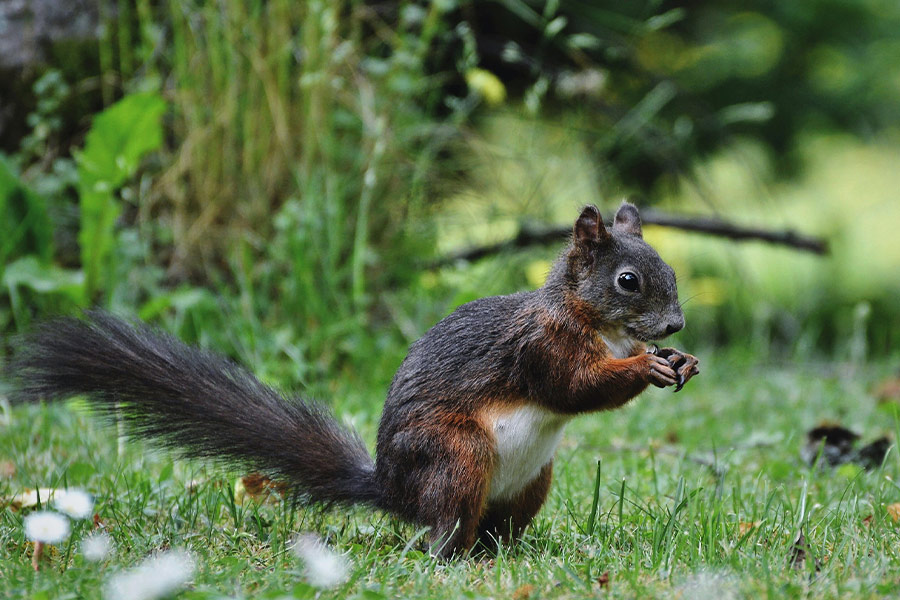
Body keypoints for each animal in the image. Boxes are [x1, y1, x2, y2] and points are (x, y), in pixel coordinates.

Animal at [6, 202, 699, 558]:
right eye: (628, 282)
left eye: (667, 269)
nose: (675, 324)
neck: (595, 324)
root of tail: (393, 490)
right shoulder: (540, 346)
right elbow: (572, 387)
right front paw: (644, 366)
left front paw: (681, 362)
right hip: (455, 454)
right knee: (443, 526)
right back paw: (448, 556)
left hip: (531, 482)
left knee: (492, 529)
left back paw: (505, 555)